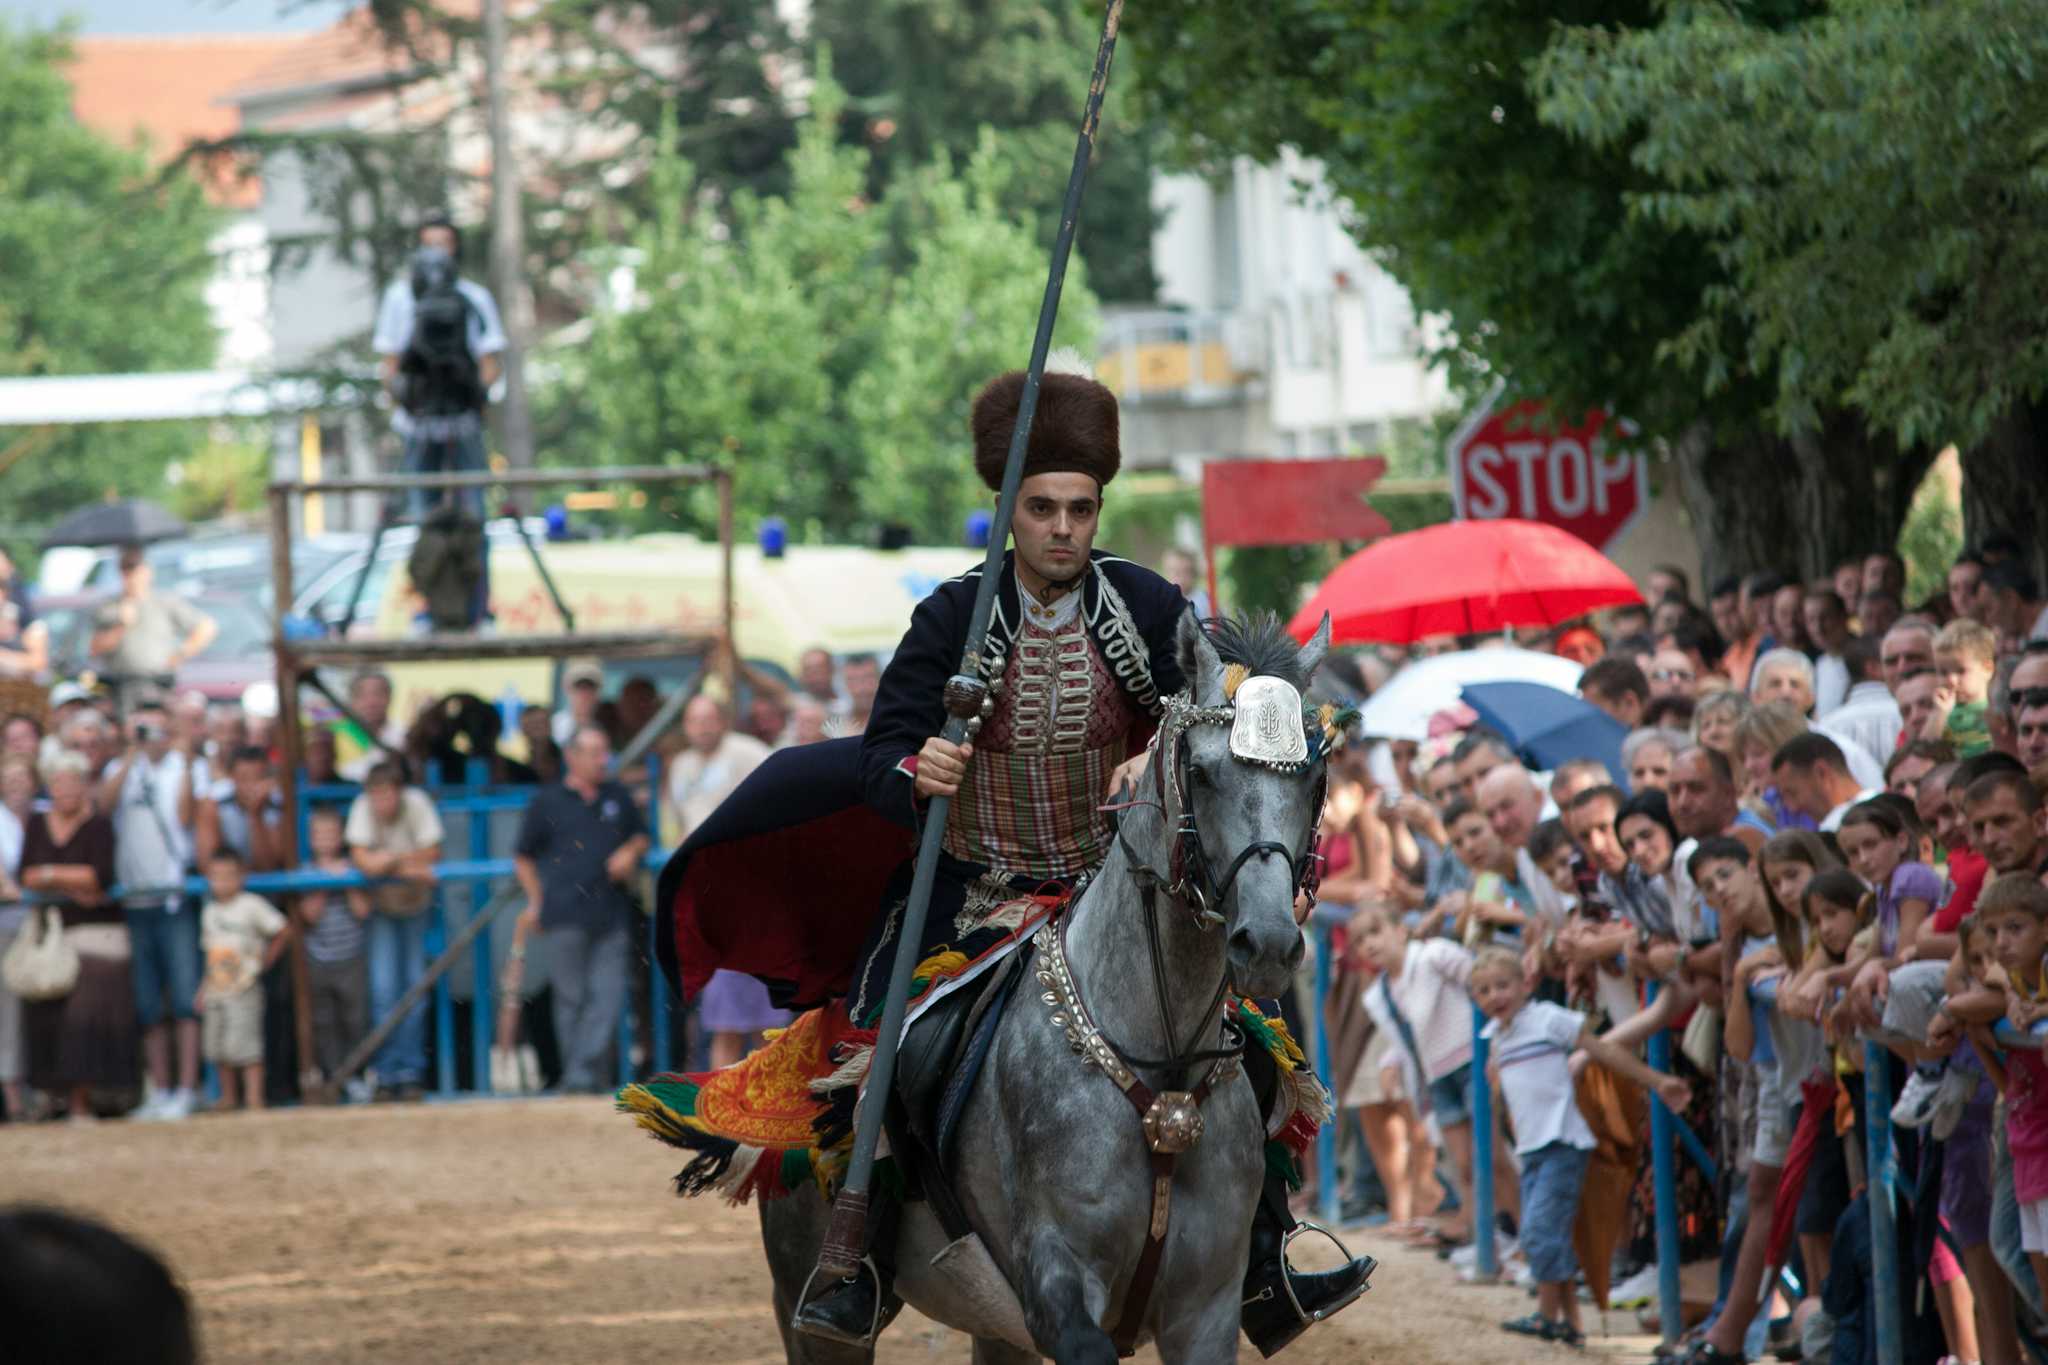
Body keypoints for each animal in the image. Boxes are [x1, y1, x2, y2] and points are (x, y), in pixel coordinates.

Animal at [761, 618, 1335, 1365]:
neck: (1161, 1069)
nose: (1266, 942)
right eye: (1202, 771)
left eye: (1316, 780)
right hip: (809, 1306)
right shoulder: (1057, 1290)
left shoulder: (1203, 1310)